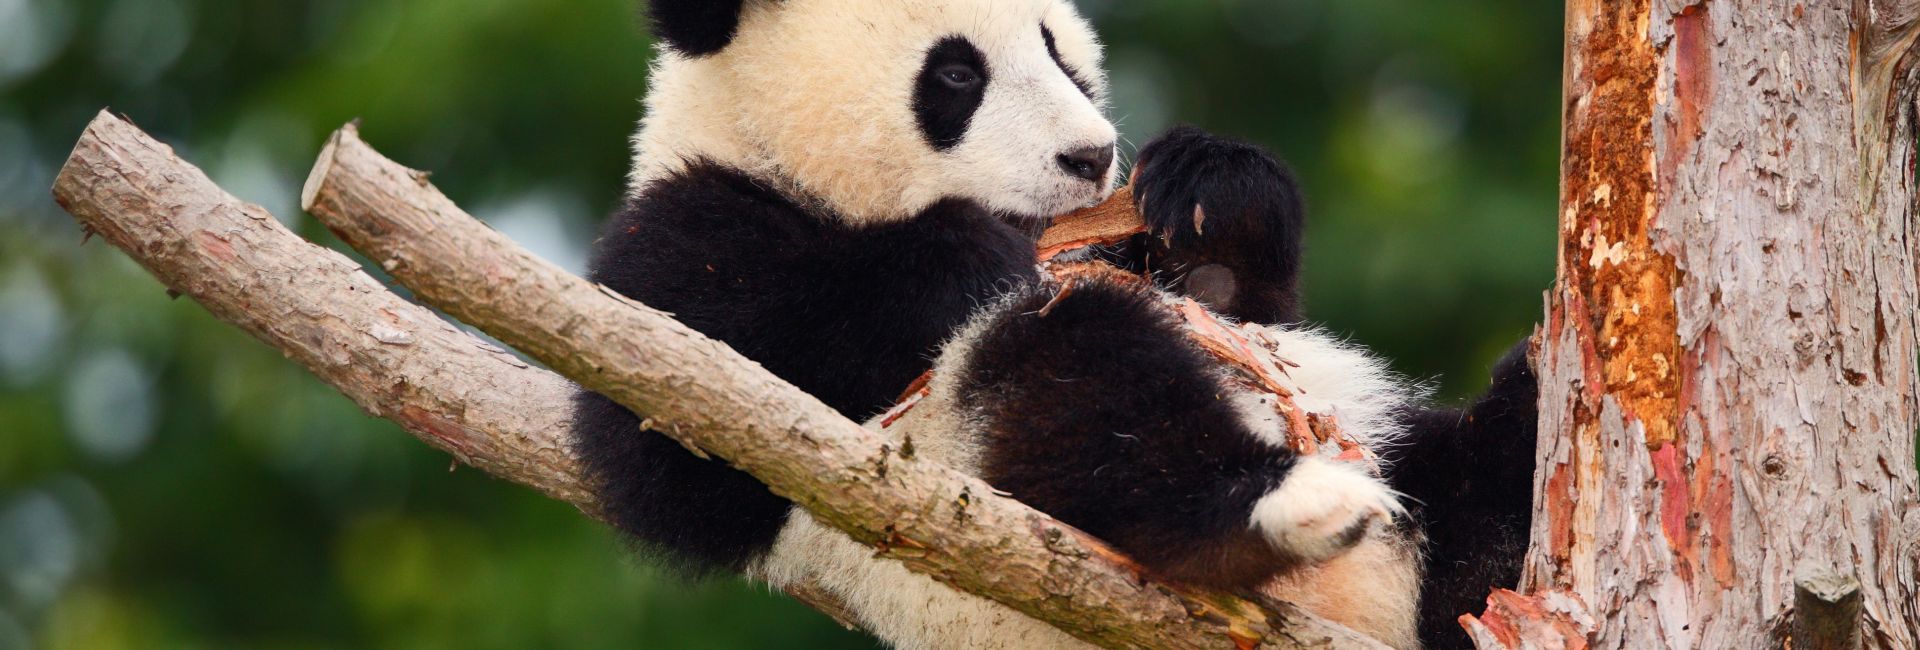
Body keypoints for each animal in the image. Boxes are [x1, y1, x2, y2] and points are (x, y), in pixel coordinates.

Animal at [571, 1, 1540, 648]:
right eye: (957, 73)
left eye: (1056, 48)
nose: (1091, 155)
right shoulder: (685, 233)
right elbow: (675, 458)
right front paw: (958, 255)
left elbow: (1241, 300)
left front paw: (1215, 190)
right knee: (1082, 385)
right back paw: (1279, 506)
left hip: (1402, 459)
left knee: (1466, 484)